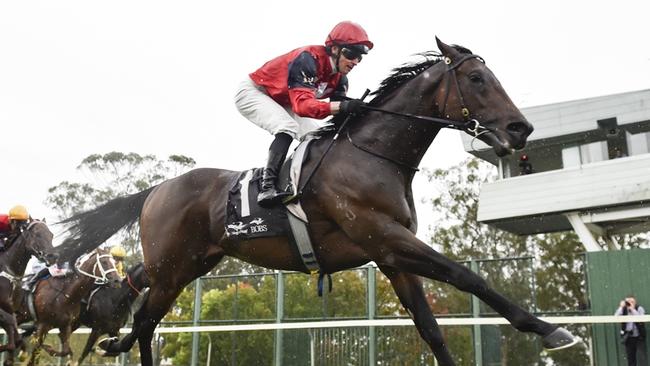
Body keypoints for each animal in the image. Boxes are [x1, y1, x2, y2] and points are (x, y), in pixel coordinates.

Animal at [53, 38, 576, 364]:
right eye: (477, 79)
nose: (520, 129)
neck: (373, 155)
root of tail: (158, 189)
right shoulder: (385, 236)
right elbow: (467, 275)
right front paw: (549, 328)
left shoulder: (391, 254)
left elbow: (431, 329)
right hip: (173, 268)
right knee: (146, 321)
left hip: (187, 264)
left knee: (142, 313)